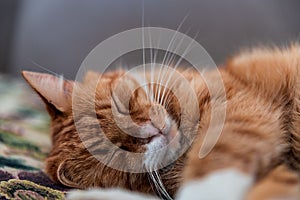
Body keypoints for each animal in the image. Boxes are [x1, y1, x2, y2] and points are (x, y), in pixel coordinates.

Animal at [22, 44, 300, 199]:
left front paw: (208, 190)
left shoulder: (236, 105)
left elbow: (220, 154)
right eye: (118, 152)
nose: (150, 130)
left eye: (121, 106)